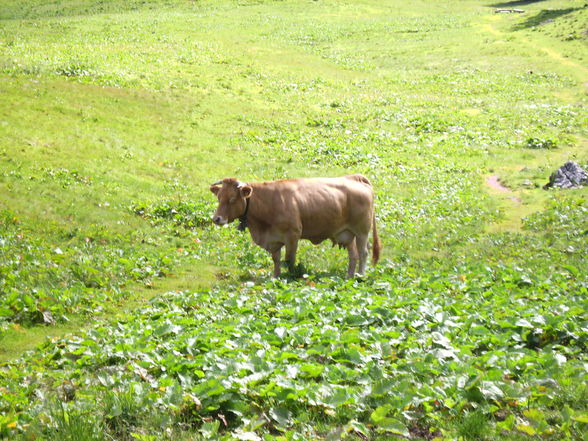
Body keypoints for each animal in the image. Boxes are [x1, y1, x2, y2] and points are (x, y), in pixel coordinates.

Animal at [210, 174, 382, 276]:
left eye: (232, 199)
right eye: (219, 197)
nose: (217, 218)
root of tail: (354, 178)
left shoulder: (293, 236)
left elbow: (289, 259)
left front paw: (290, 277)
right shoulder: (274, 239)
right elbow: (276, 260)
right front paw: (276, 277)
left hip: (362, 232)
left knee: (363, 253)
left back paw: (360, 276)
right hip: (347, 234)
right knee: (353, 255)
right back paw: (349, 276)